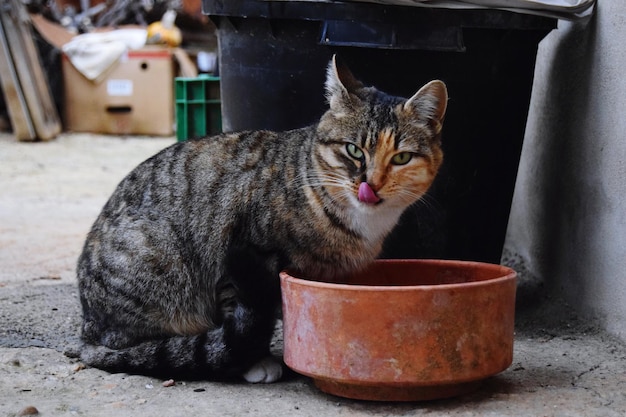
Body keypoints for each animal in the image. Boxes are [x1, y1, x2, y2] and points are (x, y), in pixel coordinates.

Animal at [75, 57, 446, 382]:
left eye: (401, 157)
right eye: (353, 150)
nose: (371, 183)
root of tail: (87, 327)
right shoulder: (238, 256)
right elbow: (241, 312)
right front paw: (255, 362)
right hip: (161, 266)